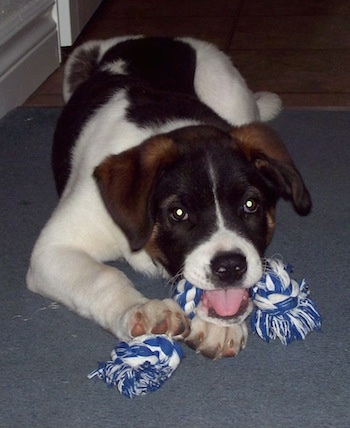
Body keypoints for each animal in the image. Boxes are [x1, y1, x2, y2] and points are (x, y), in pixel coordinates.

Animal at [28, 36, 312, 358]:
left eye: (250, 205)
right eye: (178, 213)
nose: (230, 267)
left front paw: (216, 325)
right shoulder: (52, 250)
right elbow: (105, 276)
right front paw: (141, 310)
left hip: (232, 94)